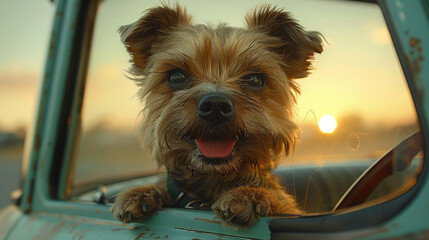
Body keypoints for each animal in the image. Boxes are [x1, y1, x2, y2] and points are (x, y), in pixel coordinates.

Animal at [111, 3, 320, 227]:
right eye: (176, 76)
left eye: (255, 79)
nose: (215, 106)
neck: (213, 181)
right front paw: (141, 192)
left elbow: (281, 203)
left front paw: (250, 195)